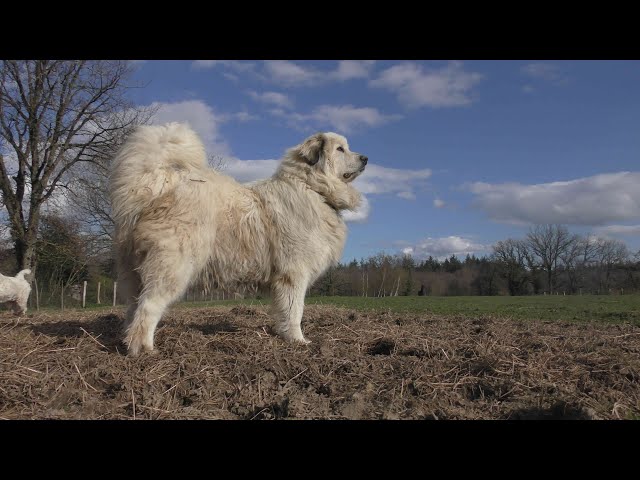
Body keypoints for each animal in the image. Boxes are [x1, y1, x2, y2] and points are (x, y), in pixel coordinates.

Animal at [111, 124, 364, 356]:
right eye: (340, 149)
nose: (366, 158)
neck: (312, 187)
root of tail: (160, 185)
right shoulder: (294, 275)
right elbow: (295, 311)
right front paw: (298, 341)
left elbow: (283, 312)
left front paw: (283, 336)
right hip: (172, 268)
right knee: (148, 308)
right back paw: (144, 350)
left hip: (133, 273)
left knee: (133, 309)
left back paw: (126, 342)